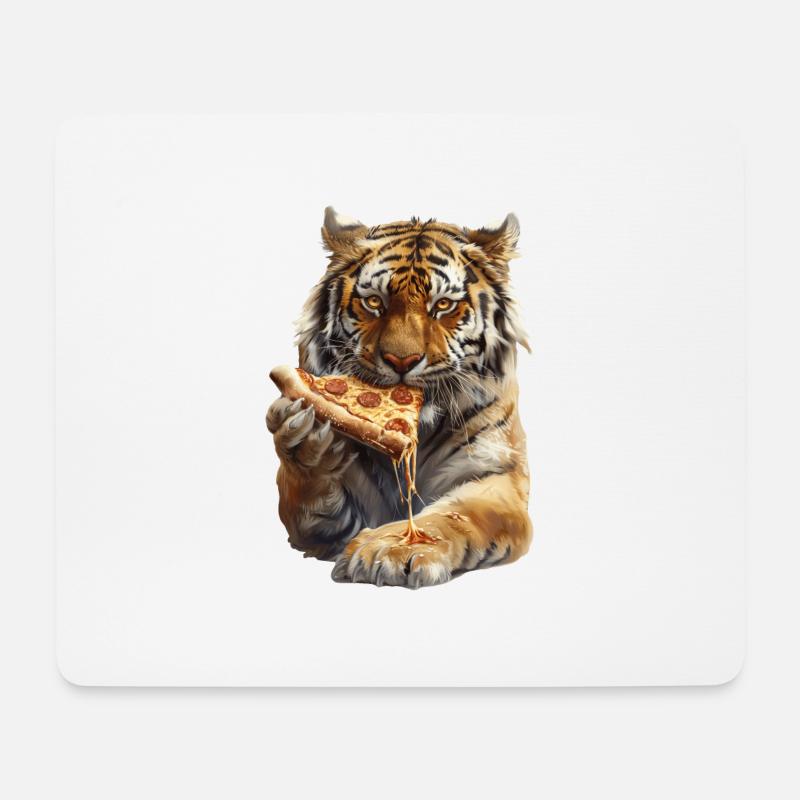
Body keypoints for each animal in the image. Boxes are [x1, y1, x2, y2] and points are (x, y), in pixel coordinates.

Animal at [266, 207, 533, 588]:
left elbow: (453, 515)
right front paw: (306, 443)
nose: (401, 361)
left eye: (443, 305)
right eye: (374, 302)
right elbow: (305, 496)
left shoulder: (496, 476)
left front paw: (391, 549)